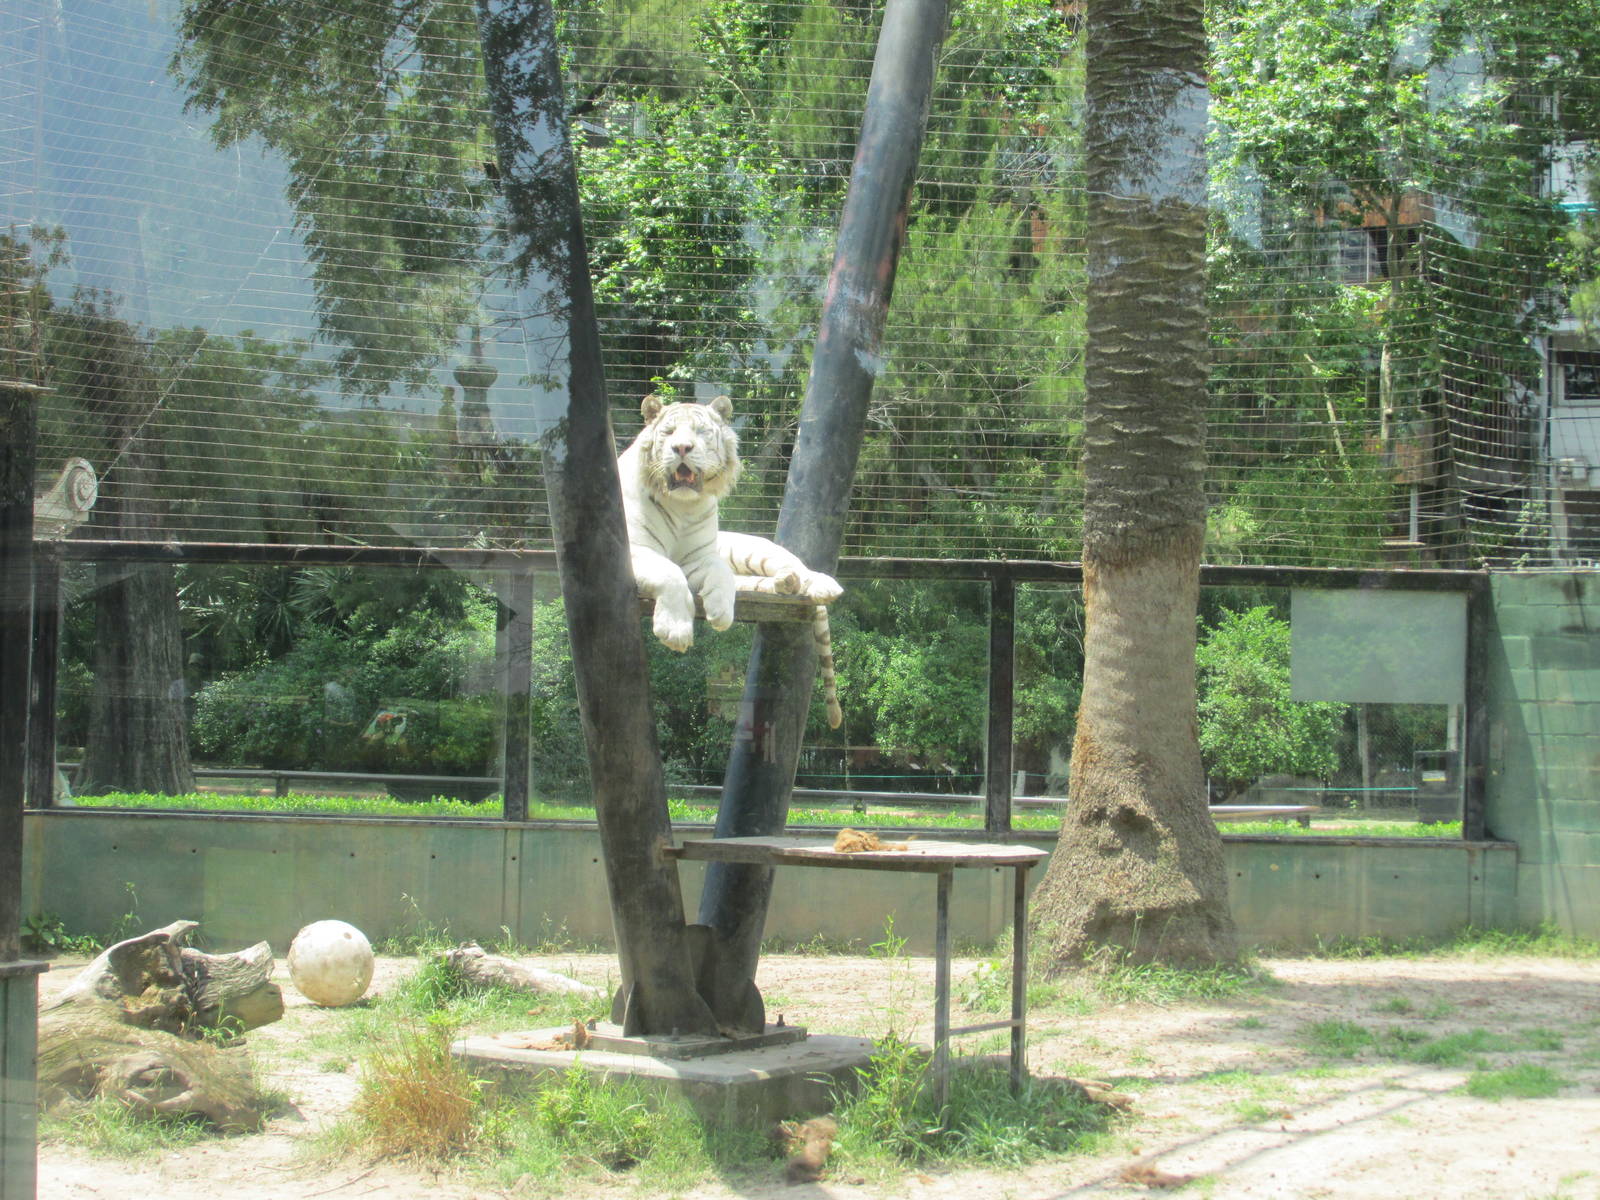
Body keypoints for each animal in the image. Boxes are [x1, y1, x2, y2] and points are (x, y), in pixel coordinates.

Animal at [618, 392, 843, 728]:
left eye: (700, 433)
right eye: (669, 433)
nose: (681, 448)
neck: (682, 505)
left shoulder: (701, 557)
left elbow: (720, 572)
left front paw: (721, 612)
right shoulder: (635, 549)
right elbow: (670, 572)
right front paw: (676, 631)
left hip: (756, 550)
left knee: (798, 568)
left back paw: (821, 585)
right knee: (764, 581)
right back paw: (785, 584)